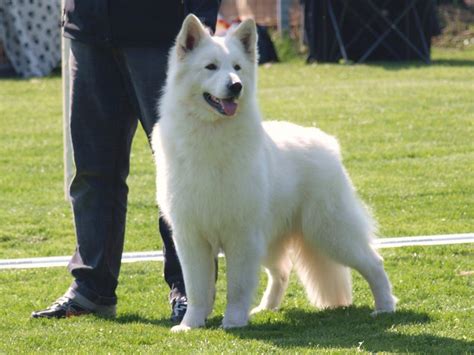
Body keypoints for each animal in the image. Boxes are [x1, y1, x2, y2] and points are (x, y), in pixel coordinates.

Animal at [152, 13, 396, 330]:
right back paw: (265, 308)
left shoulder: (242, 237)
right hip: (273, 240)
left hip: (329, 233)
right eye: (211, 67)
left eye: (237, 68)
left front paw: (233, 322)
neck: (210, 134)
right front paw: (189, 325)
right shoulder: (192, 239)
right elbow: (197, 289)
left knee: (373, 262)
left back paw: (385, 307)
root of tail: (327, 142)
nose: (236, 86)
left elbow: (237, 288)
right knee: (281, 271)